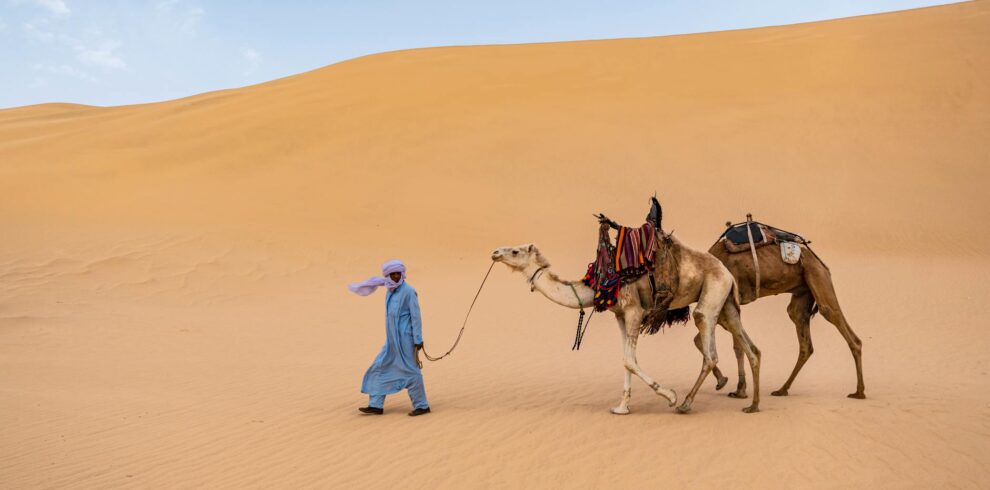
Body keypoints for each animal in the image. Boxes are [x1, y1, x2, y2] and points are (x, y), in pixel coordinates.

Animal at [492, 235, 763, 414]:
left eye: (515, 251)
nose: (495, 253)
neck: (598, 282)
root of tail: (727, 271)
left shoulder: (634, 310)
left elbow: (629, 360)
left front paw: (669, 395)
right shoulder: (620, 315)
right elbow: (626, 359)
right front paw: (622, 406)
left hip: (712, 293)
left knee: (709, 347)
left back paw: (685, 403)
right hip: (725, 302)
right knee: (750, 348)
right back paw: (752, 404)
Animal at [707, 234, 866, 399]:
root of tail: (821, 264)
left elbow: (735, 345)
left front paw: (734, 387)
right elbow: (732, 345)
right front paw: (735, 388)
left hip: (818, 276)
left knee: (836, 319)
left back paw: (859, 392)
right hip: (803, 293)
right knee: (804, 339)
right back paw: (782, 389)